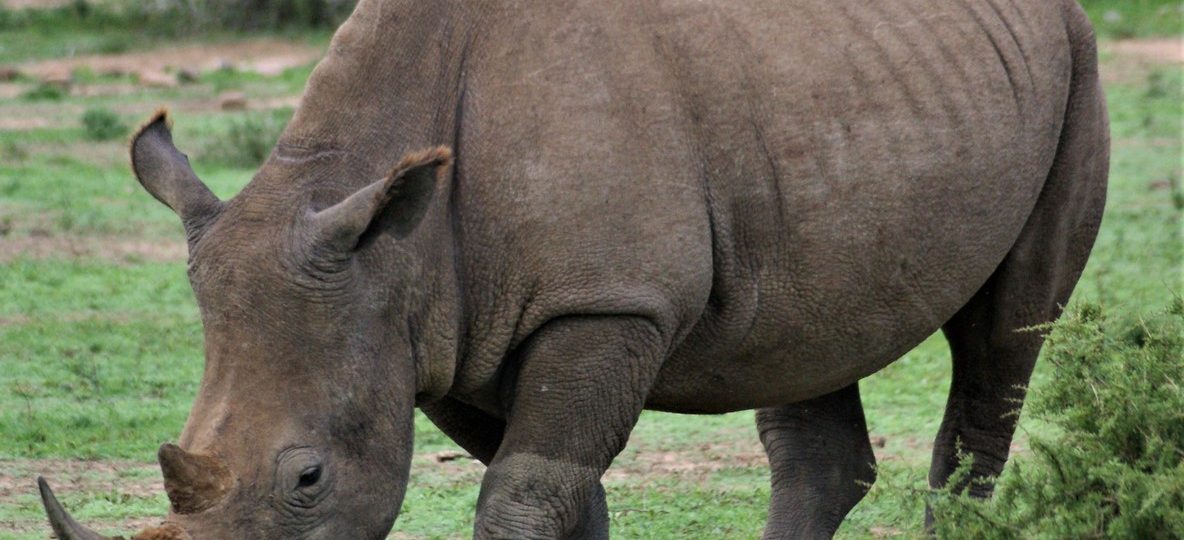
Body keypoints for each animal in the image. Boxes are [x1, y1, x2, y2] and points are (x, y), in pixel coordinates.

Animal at [38, 0, 1108, 538]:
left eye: (306, 480)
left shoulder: (605, 305)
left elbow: (524, 492)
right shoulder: (442, 331)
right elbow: (557, 490)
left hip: (1079, 65)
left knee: (1004, 341)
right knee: (806, 348)